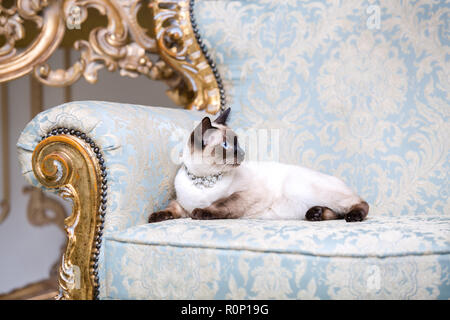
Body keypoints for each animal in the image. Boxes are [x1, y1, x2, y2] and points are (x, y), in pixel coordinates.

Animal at [149, 108, 370, 222]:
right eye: (226, 145)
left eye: (238, 143)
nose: (243, 153)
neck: (204, 181)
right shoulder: (181, 204)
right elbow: (170, 208)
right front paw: (155, 217)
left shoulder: (245, 195)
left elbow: (221, 204)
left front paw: (202, 213)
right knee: (336, 213)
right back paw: (316, 214)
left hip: (304, 188)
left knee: (359, 204)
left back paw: (352, 217)